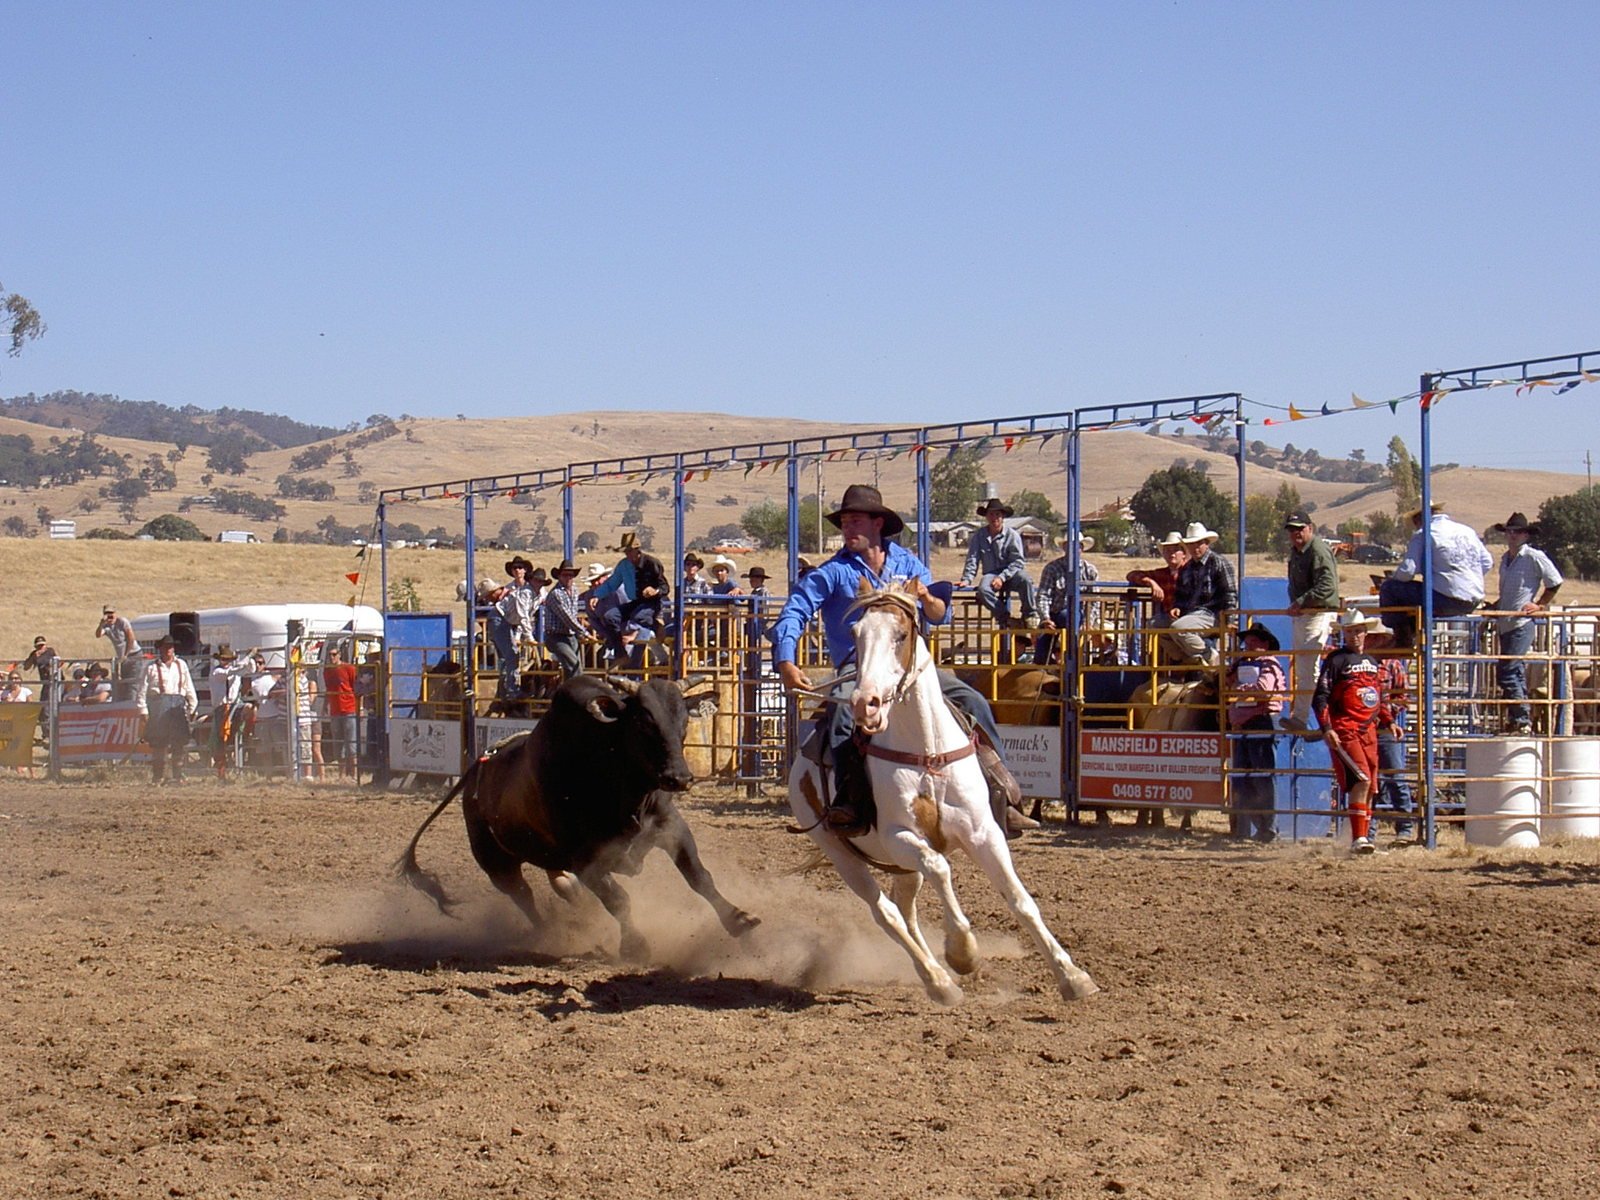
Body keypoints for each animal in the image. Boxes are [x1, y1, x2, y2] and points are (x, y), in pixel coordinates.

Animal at [787, 579, 1100, 1004]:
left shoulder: (984, 833)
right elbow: (940, 867)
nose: (864, 704)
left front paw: (1073, 976)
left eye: (901, 634)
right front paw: (963, 952)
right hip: (840, 851)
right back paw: (938, 979)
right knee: (885, 911)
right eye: (855, 634)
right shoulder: (902, 836)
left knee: (905, 908)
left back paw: (935, 975)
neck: (926, 752)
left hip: (901, 864)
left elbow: (1021, 900)